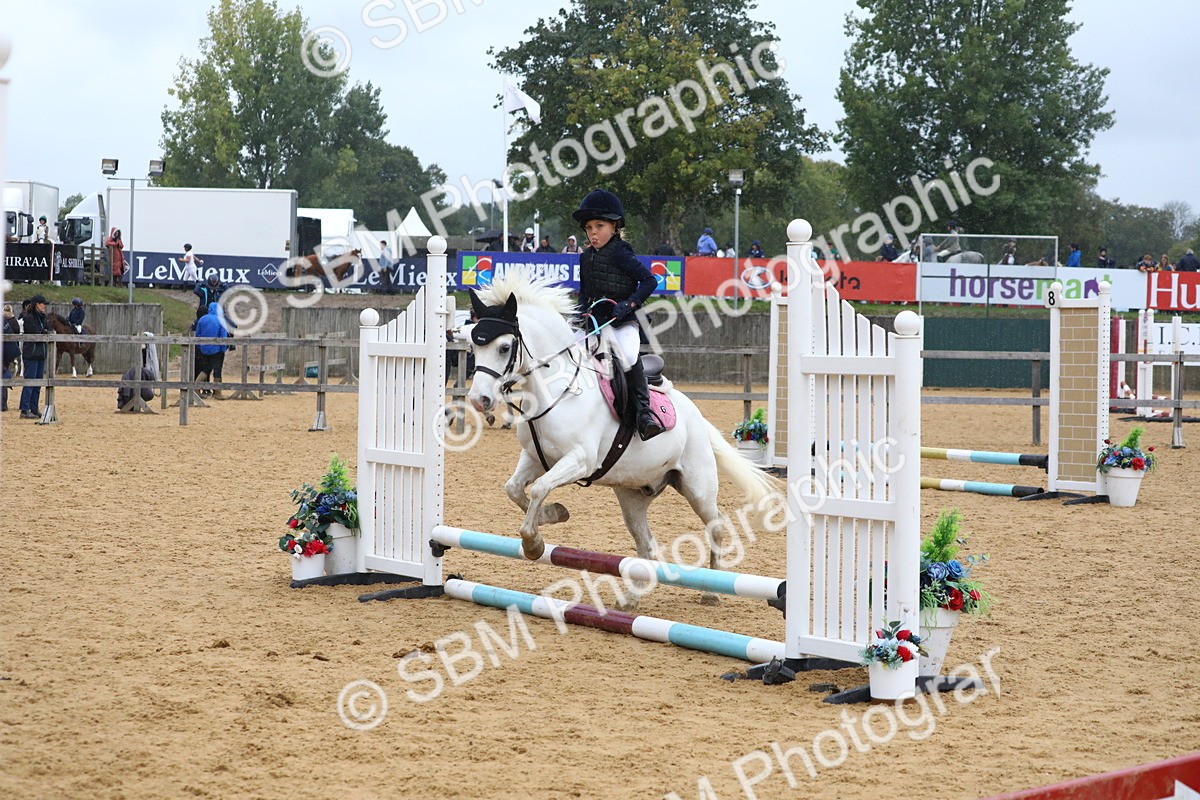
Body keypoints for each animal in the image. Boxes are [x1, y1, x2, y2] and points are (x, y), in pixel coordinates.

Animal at [465, 273, 781, 604]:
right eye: (473, 345)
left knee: (715, 523)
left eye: (504, 347)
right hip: (633, 496)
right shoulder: (536, 458)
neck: (557, 391)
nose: (479, 400)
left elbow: (538, 489)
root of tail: (694, 412)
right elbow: (514, 489)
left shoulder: (580, 460)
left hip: (698, 487)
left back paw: (710, 590)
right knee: (647, 546)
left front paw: (533, 544)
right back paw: (631, 597)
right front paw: (551, 517)